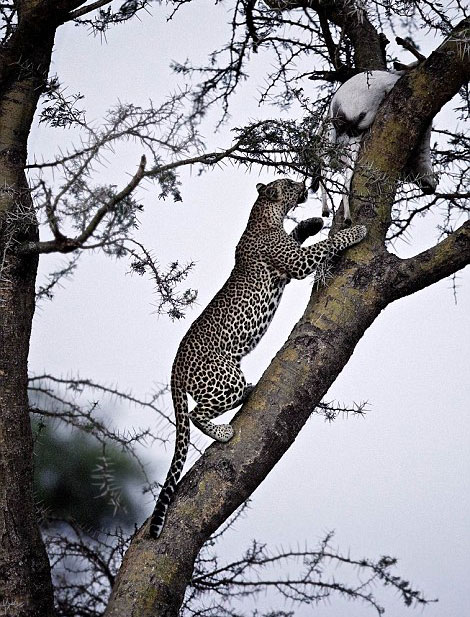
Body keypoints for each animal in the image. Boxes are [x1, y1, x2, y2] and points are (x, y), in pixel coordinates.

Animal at [151, 176, 368, 536]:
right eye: (290, 183)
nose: (307, 182)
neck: (265, 216)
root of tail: (174, 369)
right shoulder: (295, 263)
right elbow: (326, 245)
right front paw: (356, 231)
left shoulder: (289, 255)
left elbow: (300, 236)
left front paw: (311, 222)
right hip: (224, 378)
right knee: (197, 414)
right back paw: (225, 430)